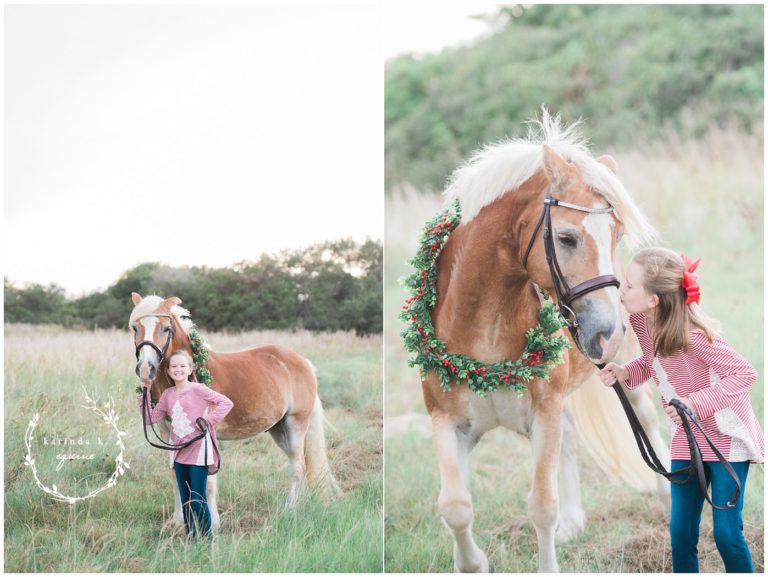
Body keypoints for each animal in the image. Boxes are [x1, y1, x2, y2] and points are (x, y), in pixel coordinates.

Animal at [129, 292, 340, 531]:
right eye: (135, 328)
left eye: (166, 328)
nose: (145, 369)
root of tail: (303, 362)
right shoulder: (170, 436)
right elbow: (176, 476)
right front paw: (178, 521)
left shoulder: (206, 435)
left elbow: (209, 481)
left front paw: (212, 523)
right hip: (279, 429)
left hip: (296, 424)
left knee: (297, 467)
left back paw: (290, 510)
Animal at [416, 111, 669, 572]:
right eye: (567, 238)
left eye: (616, 235)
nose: (607, 334)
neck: (484, 333)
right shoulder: (448, 421)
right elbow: (455, 505)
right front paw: (472, 563)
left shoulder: (543, 413)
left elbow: (541, 505)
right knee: (569, 441)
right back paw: (573, 523)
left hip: (627, 378)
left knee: (647, 424)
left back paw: (667, 505)